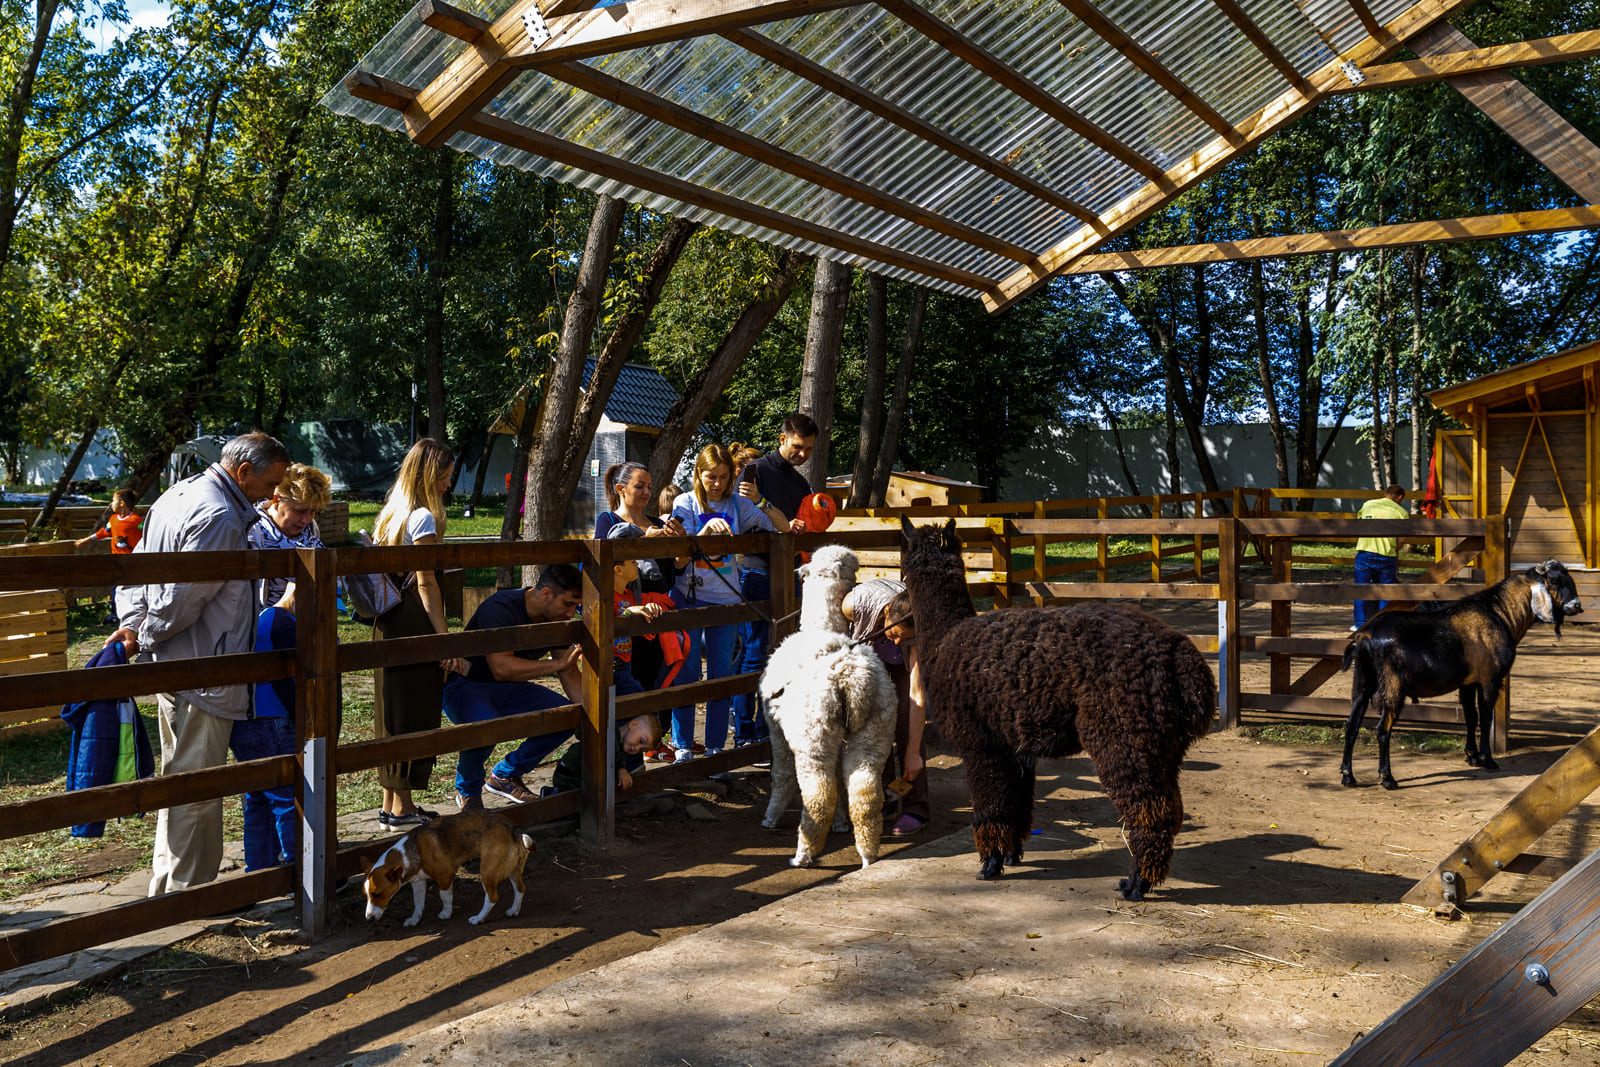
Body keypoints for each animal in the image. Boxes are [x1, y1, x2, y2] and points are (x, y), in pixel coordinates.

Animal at [1337, 563, 1587, 790]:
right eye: (1554, 580)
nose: (1577, 605)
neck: (1500, 613)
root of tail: (1365, 637)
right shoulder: (1489, 679)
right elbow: (1486, 718)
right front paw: (1488, 760)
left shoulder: (1468, 682)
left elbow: (1470, 716)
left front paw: (1472, 756)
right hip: (1393, 686)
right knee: (1382, 729)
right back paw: (1387, 778)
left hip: (1362, 682)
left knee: (1351, 725)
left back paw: (1348, 776)